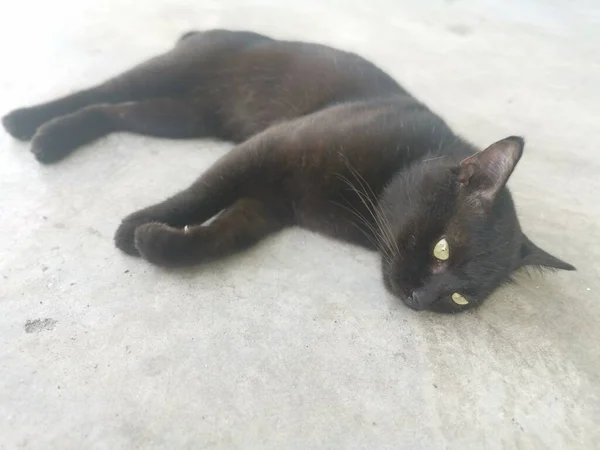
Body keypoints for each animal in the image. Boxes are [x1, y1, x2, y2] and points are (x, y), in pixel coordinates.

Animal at [0, 29, 576, 312]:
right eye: (441, 251)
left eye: (459, 298)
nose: (419, 300)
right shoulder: (270, 148)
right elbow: (201, 194)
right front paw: (131, 228)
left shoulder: (268, 206)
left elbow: (218, 238)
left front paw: (156, 242)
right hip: (172, 76)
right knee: (97, 92)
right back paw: (29, 125)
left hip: (178, 116)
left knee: (111, 112)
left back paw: (54, 138)